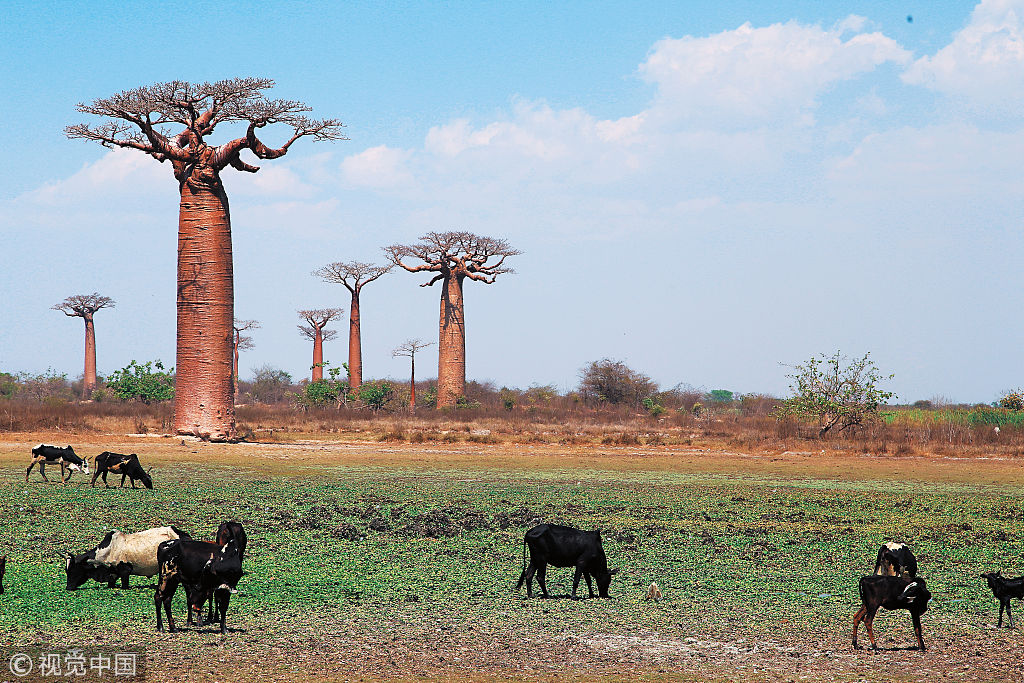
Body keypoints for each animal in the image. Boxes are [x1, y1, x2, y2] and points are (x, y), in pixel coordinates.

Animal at [61, 528, 189, 589]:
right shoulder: (112, 574)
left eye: (74, 569)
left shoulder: (125, 572)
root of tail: (184, 535)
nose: (68, 587)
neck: (109, 549)